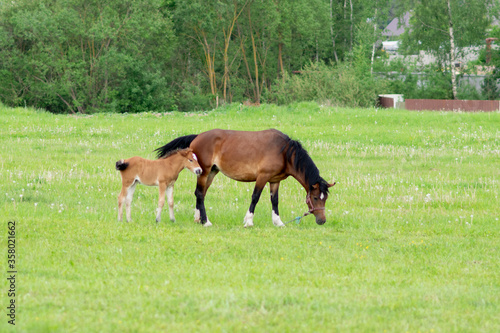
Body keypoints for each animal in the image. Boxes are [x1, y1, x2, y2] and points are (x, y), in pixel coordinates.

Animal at [155, 128, 336, 227]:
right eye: (315, 197)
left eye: (325, 198)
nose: (322, 220)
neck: (284, 151)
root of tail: (197, 137)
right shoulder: (262, 177)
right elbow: (255, 197)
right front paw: (248, 221)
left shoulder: (275, 180)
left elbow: (275, 201)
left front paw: (278, 222)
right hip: (204, 172)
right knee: (199, 194)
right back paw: (205, 221)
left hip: (212, 172)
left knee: (201, 194)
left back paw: (198, 218)